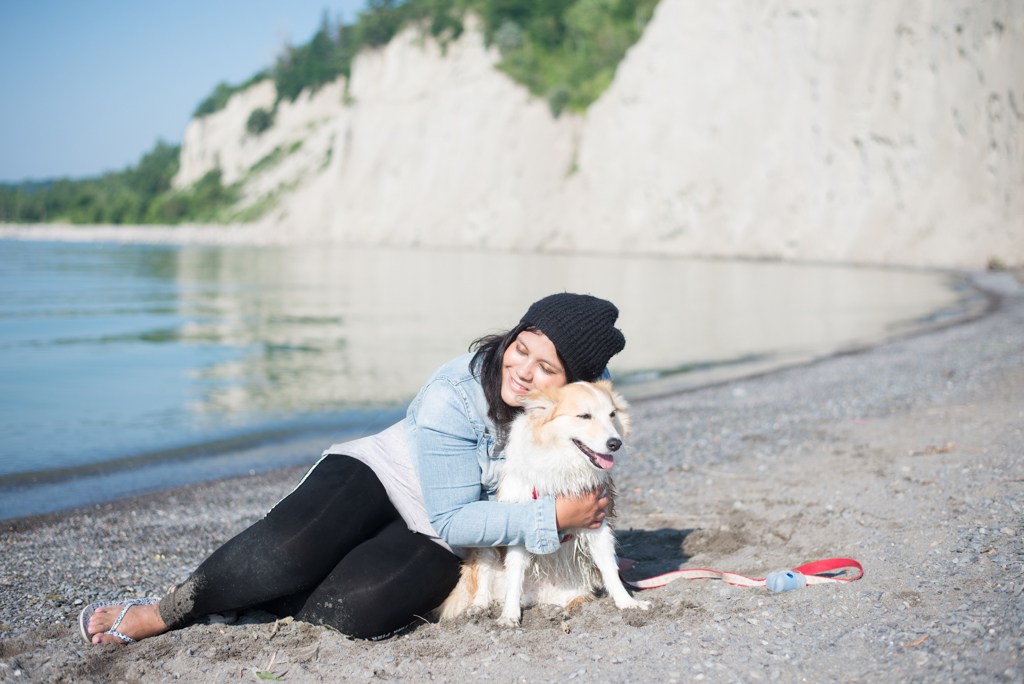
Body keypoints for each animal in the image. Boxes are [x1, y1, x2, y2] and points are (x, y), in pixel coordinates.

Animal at [438, 378, 647, 626]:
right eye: (584, 416)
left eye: (612, 414)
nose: (616, 443)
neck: (563, 462)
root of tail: (533, 596)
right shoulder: (523, 527)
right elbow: (514, 577)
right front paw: (509, 616)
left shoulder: (597, 524)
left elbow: (609, 569)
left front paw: (628, 603)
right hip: (485, 550)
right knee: (483, 588)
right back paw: (479, 608)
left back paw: (557, 611)